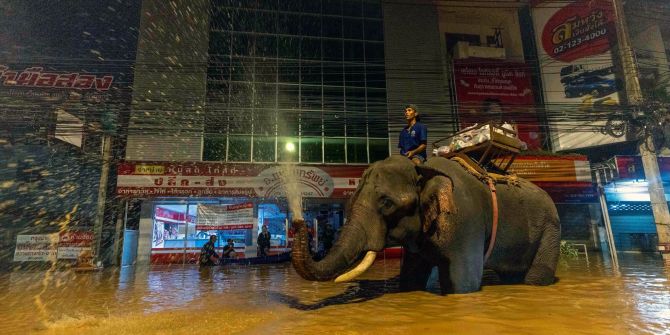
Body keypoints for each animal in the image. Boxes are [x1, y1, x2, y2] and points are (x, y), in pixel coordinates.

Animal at [294, 155, 560, 294]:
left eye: (387, 203)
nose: (298, 222)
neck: (423, 168)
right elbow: (411, 277)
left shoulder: (466, 220)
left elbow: (464, 283)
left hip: (550, 228)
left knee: (536, 276)